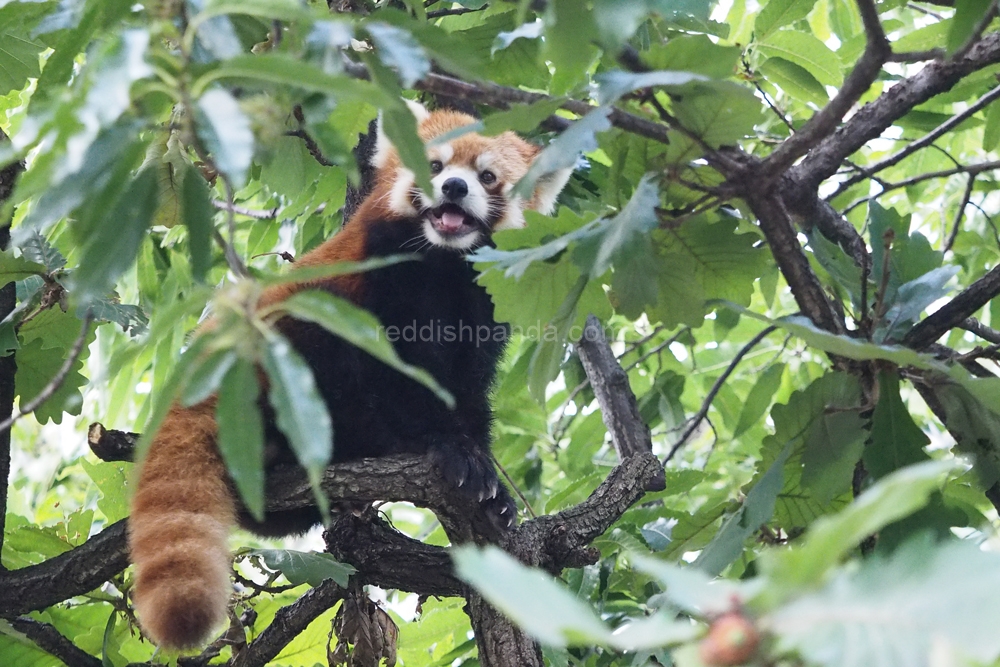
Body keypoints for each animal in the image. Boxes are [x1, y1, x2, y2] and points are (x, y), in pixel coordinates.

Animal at [129, 104, 576, 652]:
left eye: (487, 176)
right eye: (434, 164)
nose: (452, 187)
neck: (444, 262)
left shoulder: (482, 312)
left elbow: (468, 393)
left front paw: (493, 489)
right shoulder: (381, 280)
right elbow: (402, 380)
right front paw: (453, 451)